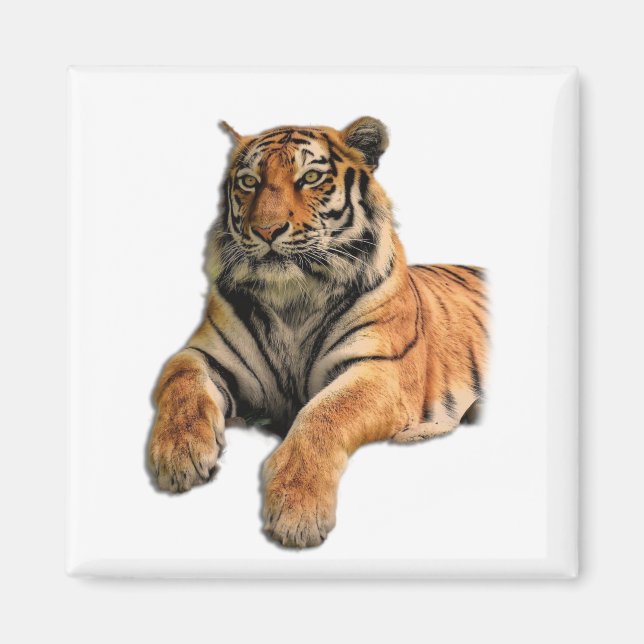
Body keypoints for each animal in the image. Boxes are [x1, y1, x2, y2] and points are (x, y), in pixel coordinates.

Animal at [148, 116, 488, 548]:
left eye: (310, 177)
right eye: (249, 182)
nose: (267, 230)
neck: (292, 297)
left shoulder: (380, 368)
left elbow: (325, 412)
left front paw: (297, 509)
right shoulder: (205, 352)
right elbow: (180, 378)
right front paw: (179, 453)